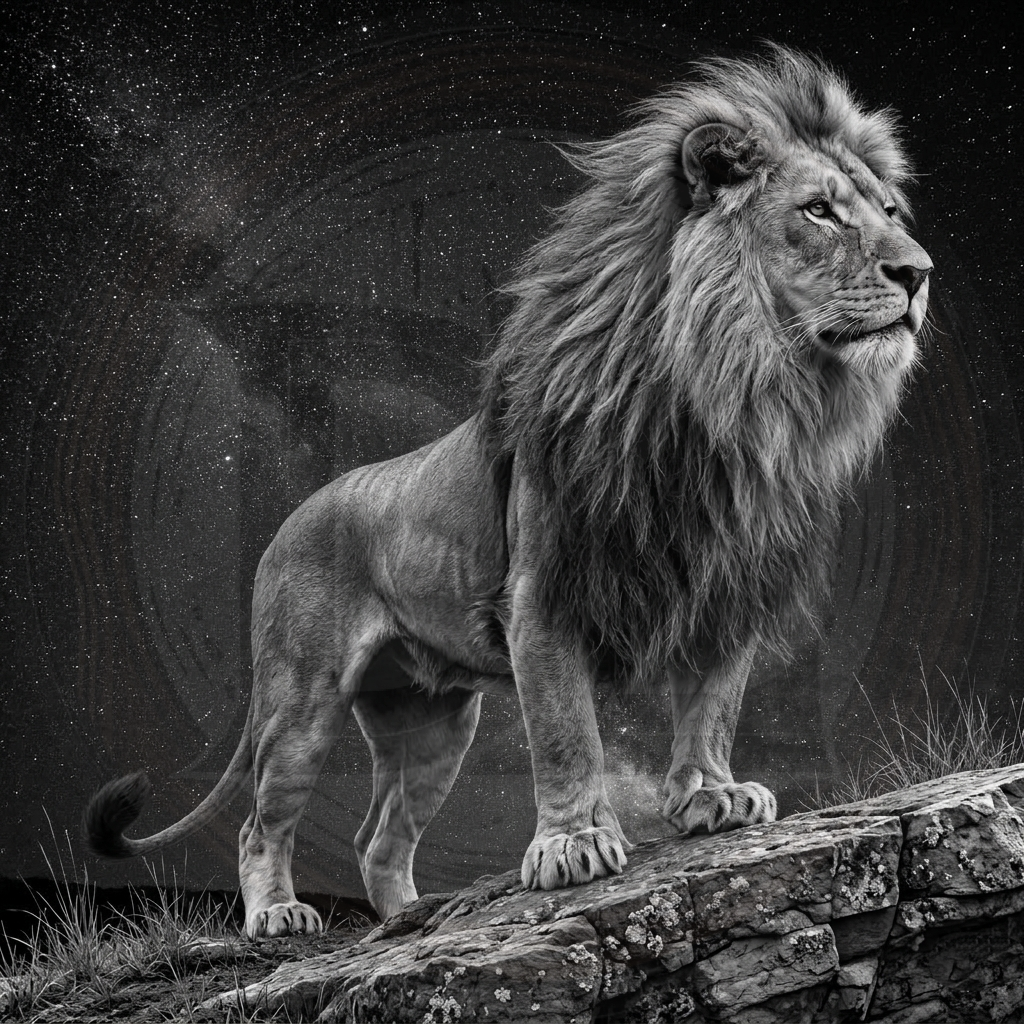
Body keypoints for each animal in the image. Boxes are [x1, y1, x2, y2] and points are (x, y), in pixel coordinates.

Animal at [85, 45, 931, 939]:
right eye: (819, 212)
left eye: (888, 209)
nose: (919, 271)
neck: (734, 395)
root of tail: (291, 518)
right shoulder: (544, 596)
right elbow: (567, 734)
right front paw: (574, 845)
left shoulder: (727, 587)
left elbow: (713, 705)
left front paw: (713, 796)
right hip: (300, 699)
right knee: (261, 822)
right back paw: (279, 915)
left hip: (434, 723)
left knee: (378, 838)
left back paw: (411, 919)